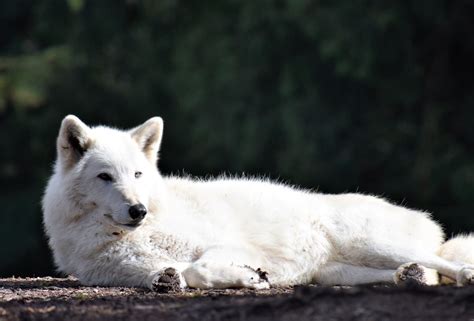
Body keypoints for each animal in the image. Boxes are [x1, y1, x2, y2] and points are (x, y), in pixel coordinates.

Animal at [41, 115, 474, 290]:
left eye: (137, 175)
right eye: (105, 177)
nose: (138, 211)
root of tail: (425, 220)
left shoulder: (223, 245)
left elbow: (199, 266)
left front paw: (252, 277)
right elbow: (181, 274)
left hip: (372, 244)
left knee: (444, 263)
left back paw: (460, 275)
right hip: (337, 273)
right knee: (425, 274)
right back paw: (410, 277)